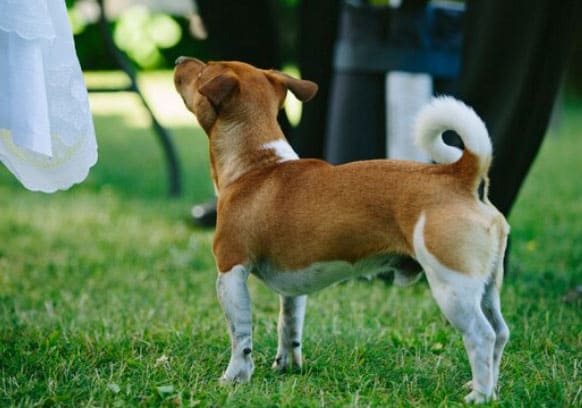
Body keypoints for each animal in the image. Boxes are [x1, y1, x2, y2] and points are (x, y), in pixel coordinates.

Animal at [173, 57, 512, 404]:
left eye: (203, 70)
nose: (179, 60)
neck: (256, 165)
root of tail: (461, 175)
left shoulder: (231, 273)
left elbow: (240, 336)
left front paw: (235, 378)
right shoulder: (292, 287)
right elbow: (289, 326)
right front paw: (287, 366)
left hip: (452, 287)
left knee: (481, 335)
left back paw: (480, 395)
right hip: (486, 287)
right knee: (500, 332)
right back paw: (490, 388)